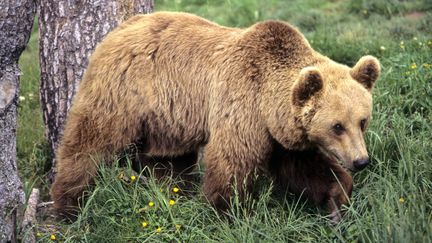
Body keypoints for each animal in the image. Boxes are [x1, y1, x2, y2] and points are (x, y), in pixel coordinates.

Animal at [50, 12, 380, 223]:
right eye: (337, 126)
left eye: (362, 121)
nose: (361, 161)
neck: (268, 103)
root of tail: (117, 30)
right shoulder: (243, 105)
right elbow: (231, 161)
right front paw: (229, 212)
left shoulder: (279, 132)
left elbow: (304, 166)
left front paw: (337, 198)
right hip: (123, 91)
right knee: (90, 141)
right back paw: (69, 204)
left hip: (168, 116)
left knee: (166, 158)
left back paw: (173, 192)